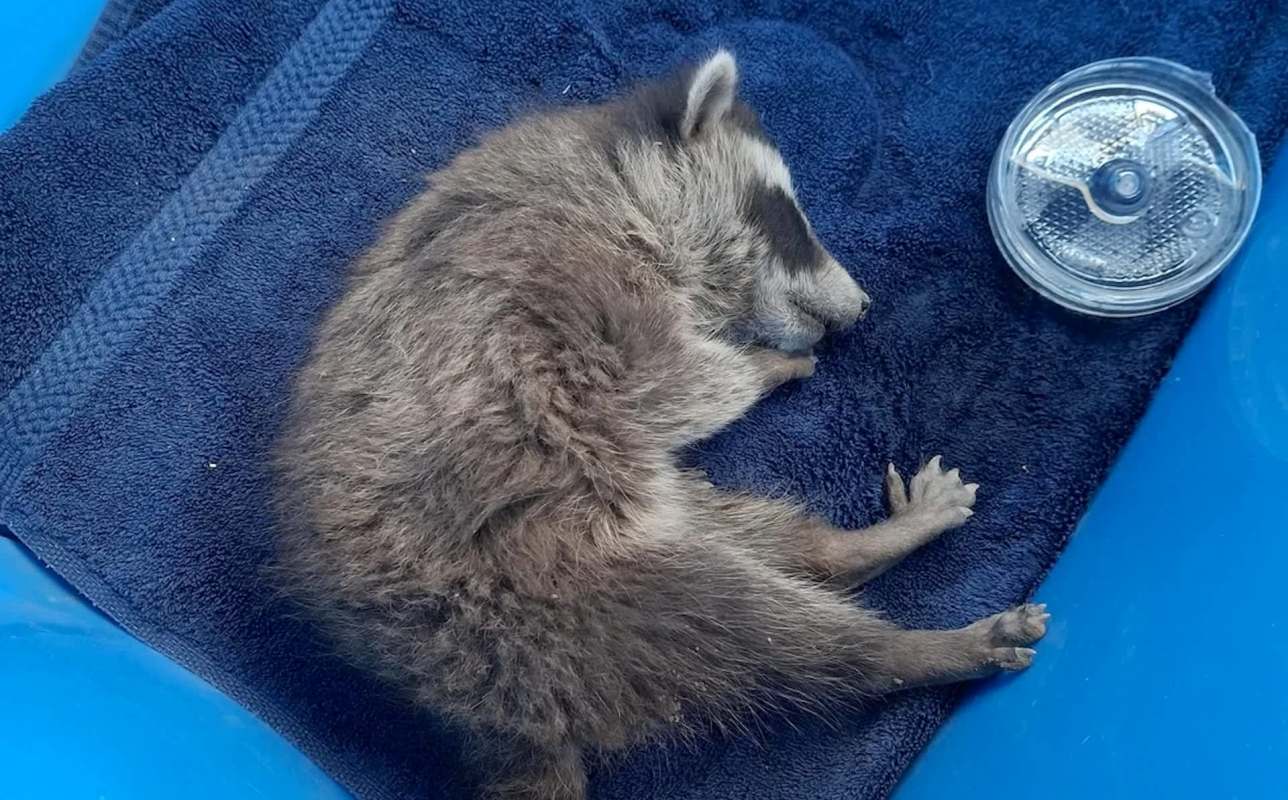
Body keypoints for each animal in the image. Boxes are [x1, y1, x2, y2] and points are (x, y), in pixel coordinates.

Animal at [273, 50, 1048, 800]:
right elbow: (668, 384)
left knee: (759, 536)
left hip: (637, 519)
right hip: (545, 594)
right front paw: (758, 367)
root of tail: (483, 710)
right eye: (785, 212)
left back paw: (849, 549)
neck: (609, 183)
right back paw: (907, 650)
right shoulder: (566, 284)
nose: (861, 306)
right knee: (761, 631)